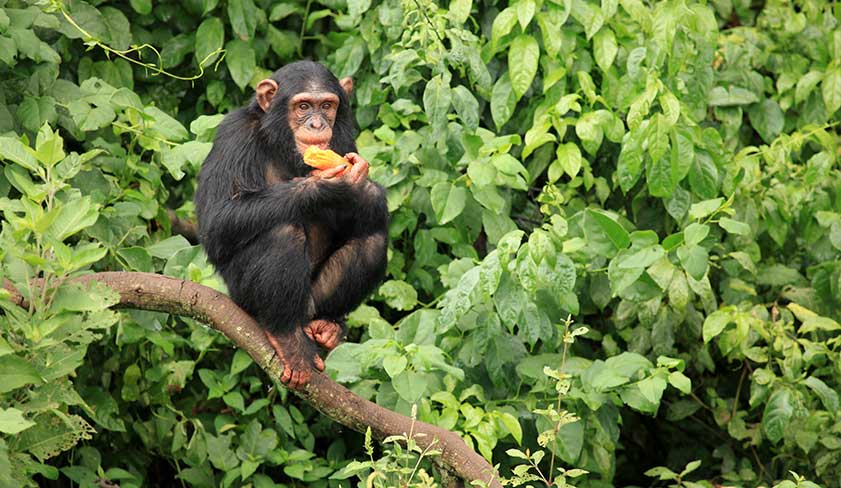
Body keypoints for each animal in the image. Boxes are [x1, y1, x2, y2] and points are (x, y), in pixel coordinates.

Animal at [197, 60, 390, 388]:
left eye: (327, 106)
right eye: (303, 106)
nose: (317, 124)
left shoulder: (343, 140)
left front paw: (361, 186)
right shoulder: (233, 135)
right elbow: (217, 220)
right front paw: (324, 187)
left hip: (312, 301)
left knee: (373, 242)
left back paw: (329, 324)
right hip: (243, 297)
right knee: (282, 234)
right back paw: (288, 339)